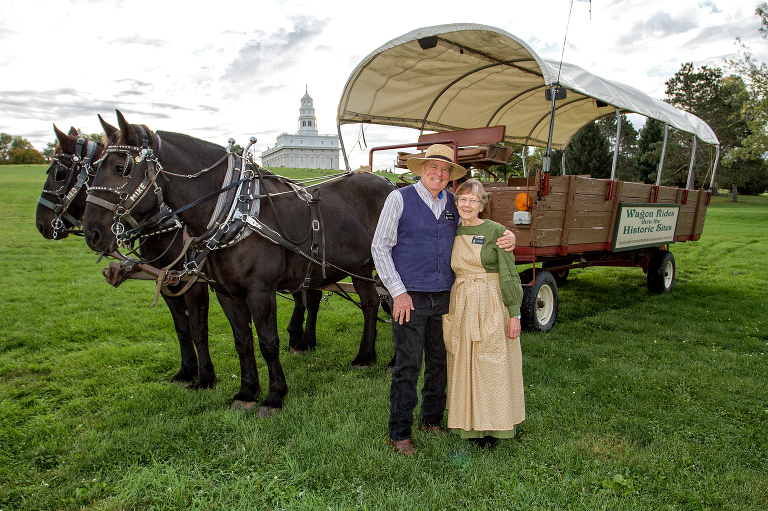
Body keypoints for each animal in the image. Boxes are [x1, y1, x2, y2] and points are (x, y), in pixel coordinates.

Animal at [84, 111, 396, 416]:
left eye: (121, 167)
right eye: (93, 167)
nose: (92, 233)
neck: (235, 209)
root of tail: (390, 183)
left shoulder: (260, 290)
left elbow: (267, 342)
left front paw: (274, 396)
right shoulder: (225, 292)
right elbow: (242, 341)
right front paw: (246, 392)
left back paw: (393, 361)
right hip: (360, 267)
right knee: (370, 305)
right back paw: (365, 356)